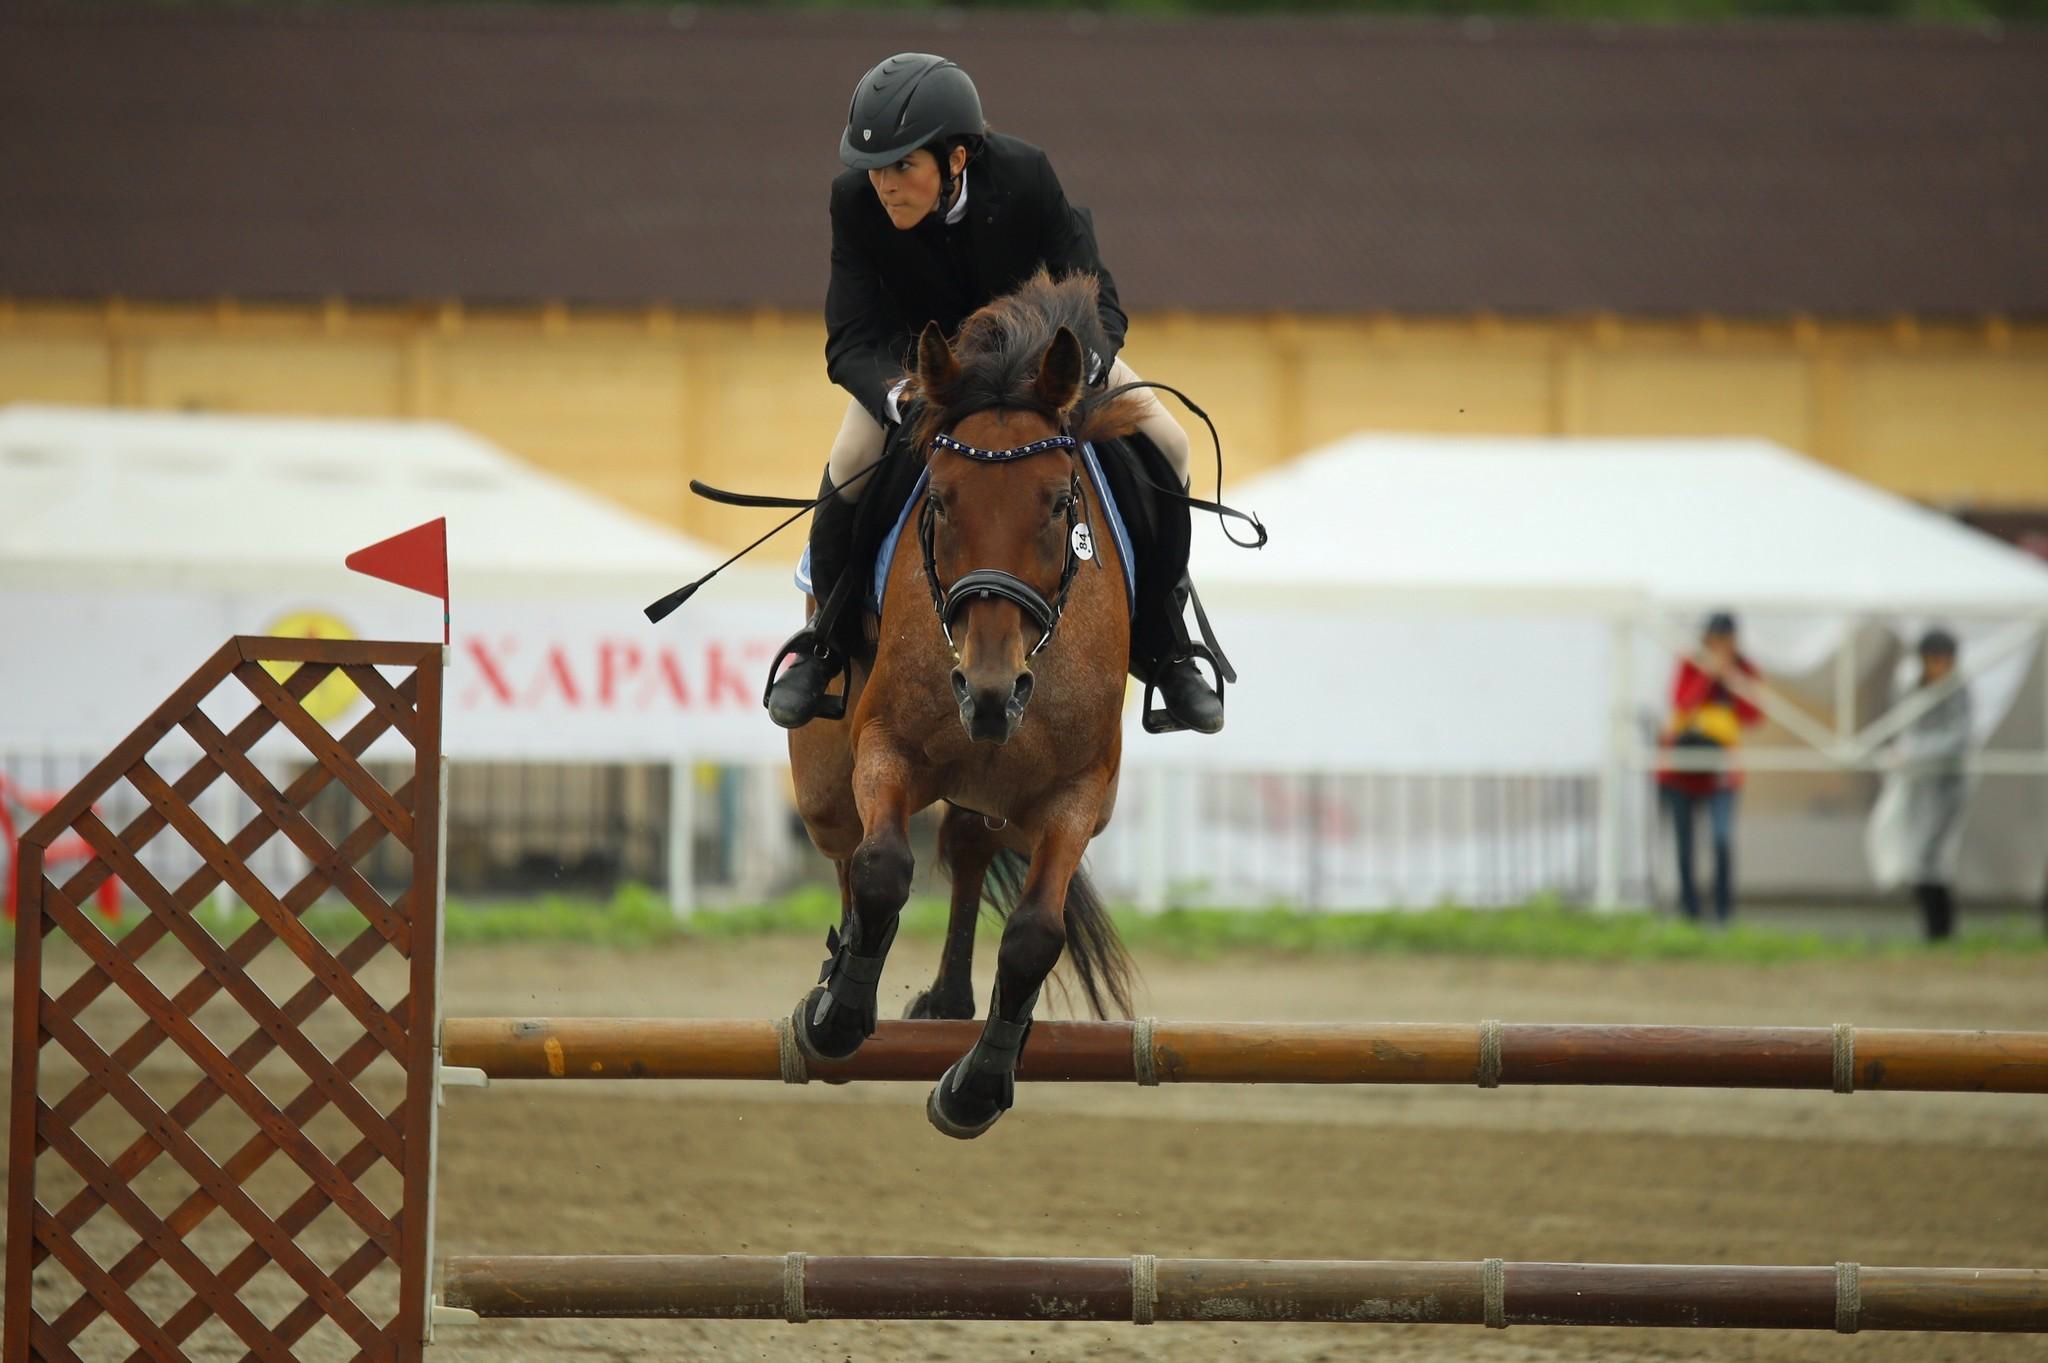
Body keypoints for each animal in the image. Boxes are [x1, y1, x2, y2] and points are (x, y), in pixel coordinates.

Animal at [782, 270, 1138, 1129]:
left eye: (1059, 502)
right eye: (938, 501)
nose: (988, 693)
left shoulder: (1079, 793)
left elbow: (1035, 933)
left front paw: (976, 1084)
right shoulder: (887, 747)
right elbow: (882, 867)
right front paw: (839, 1015)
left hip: (996, 795)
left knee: (972, 846)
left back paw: (949, 999)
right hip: (821, 782)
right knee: (848, 847)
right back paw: (838, 980)